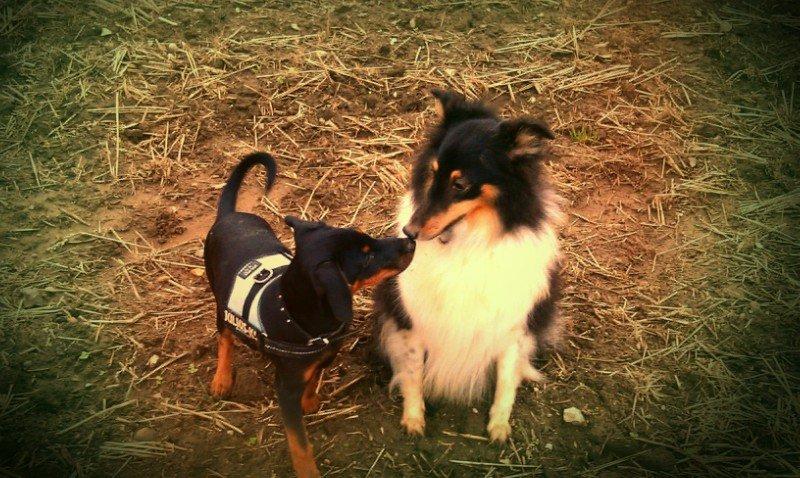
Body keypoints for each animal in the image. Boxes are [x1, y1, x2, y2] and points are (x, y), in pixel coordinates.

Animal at [203, 152, 416, 474]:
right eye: (366, 256)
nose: (410, 240)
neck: (297, 315)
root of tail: (228, 215)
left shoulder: (326, 356)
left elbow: (314, 379)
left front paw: (311, 402)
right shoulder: (286, 389)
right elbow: (299, 443)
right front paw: (308, 472)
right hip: (220, 300)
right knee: (225, 337)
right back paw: (222, 380)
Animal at [376, 88, 564, 440]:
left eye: (460, 184)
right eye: (433, 172)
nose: (409, 232)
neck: (468, 239)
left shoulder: (513, 327)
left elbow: (506, 379)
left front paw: (500, 427)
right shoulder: (414, 321)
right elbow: (412, 372)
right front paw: (413, 420)